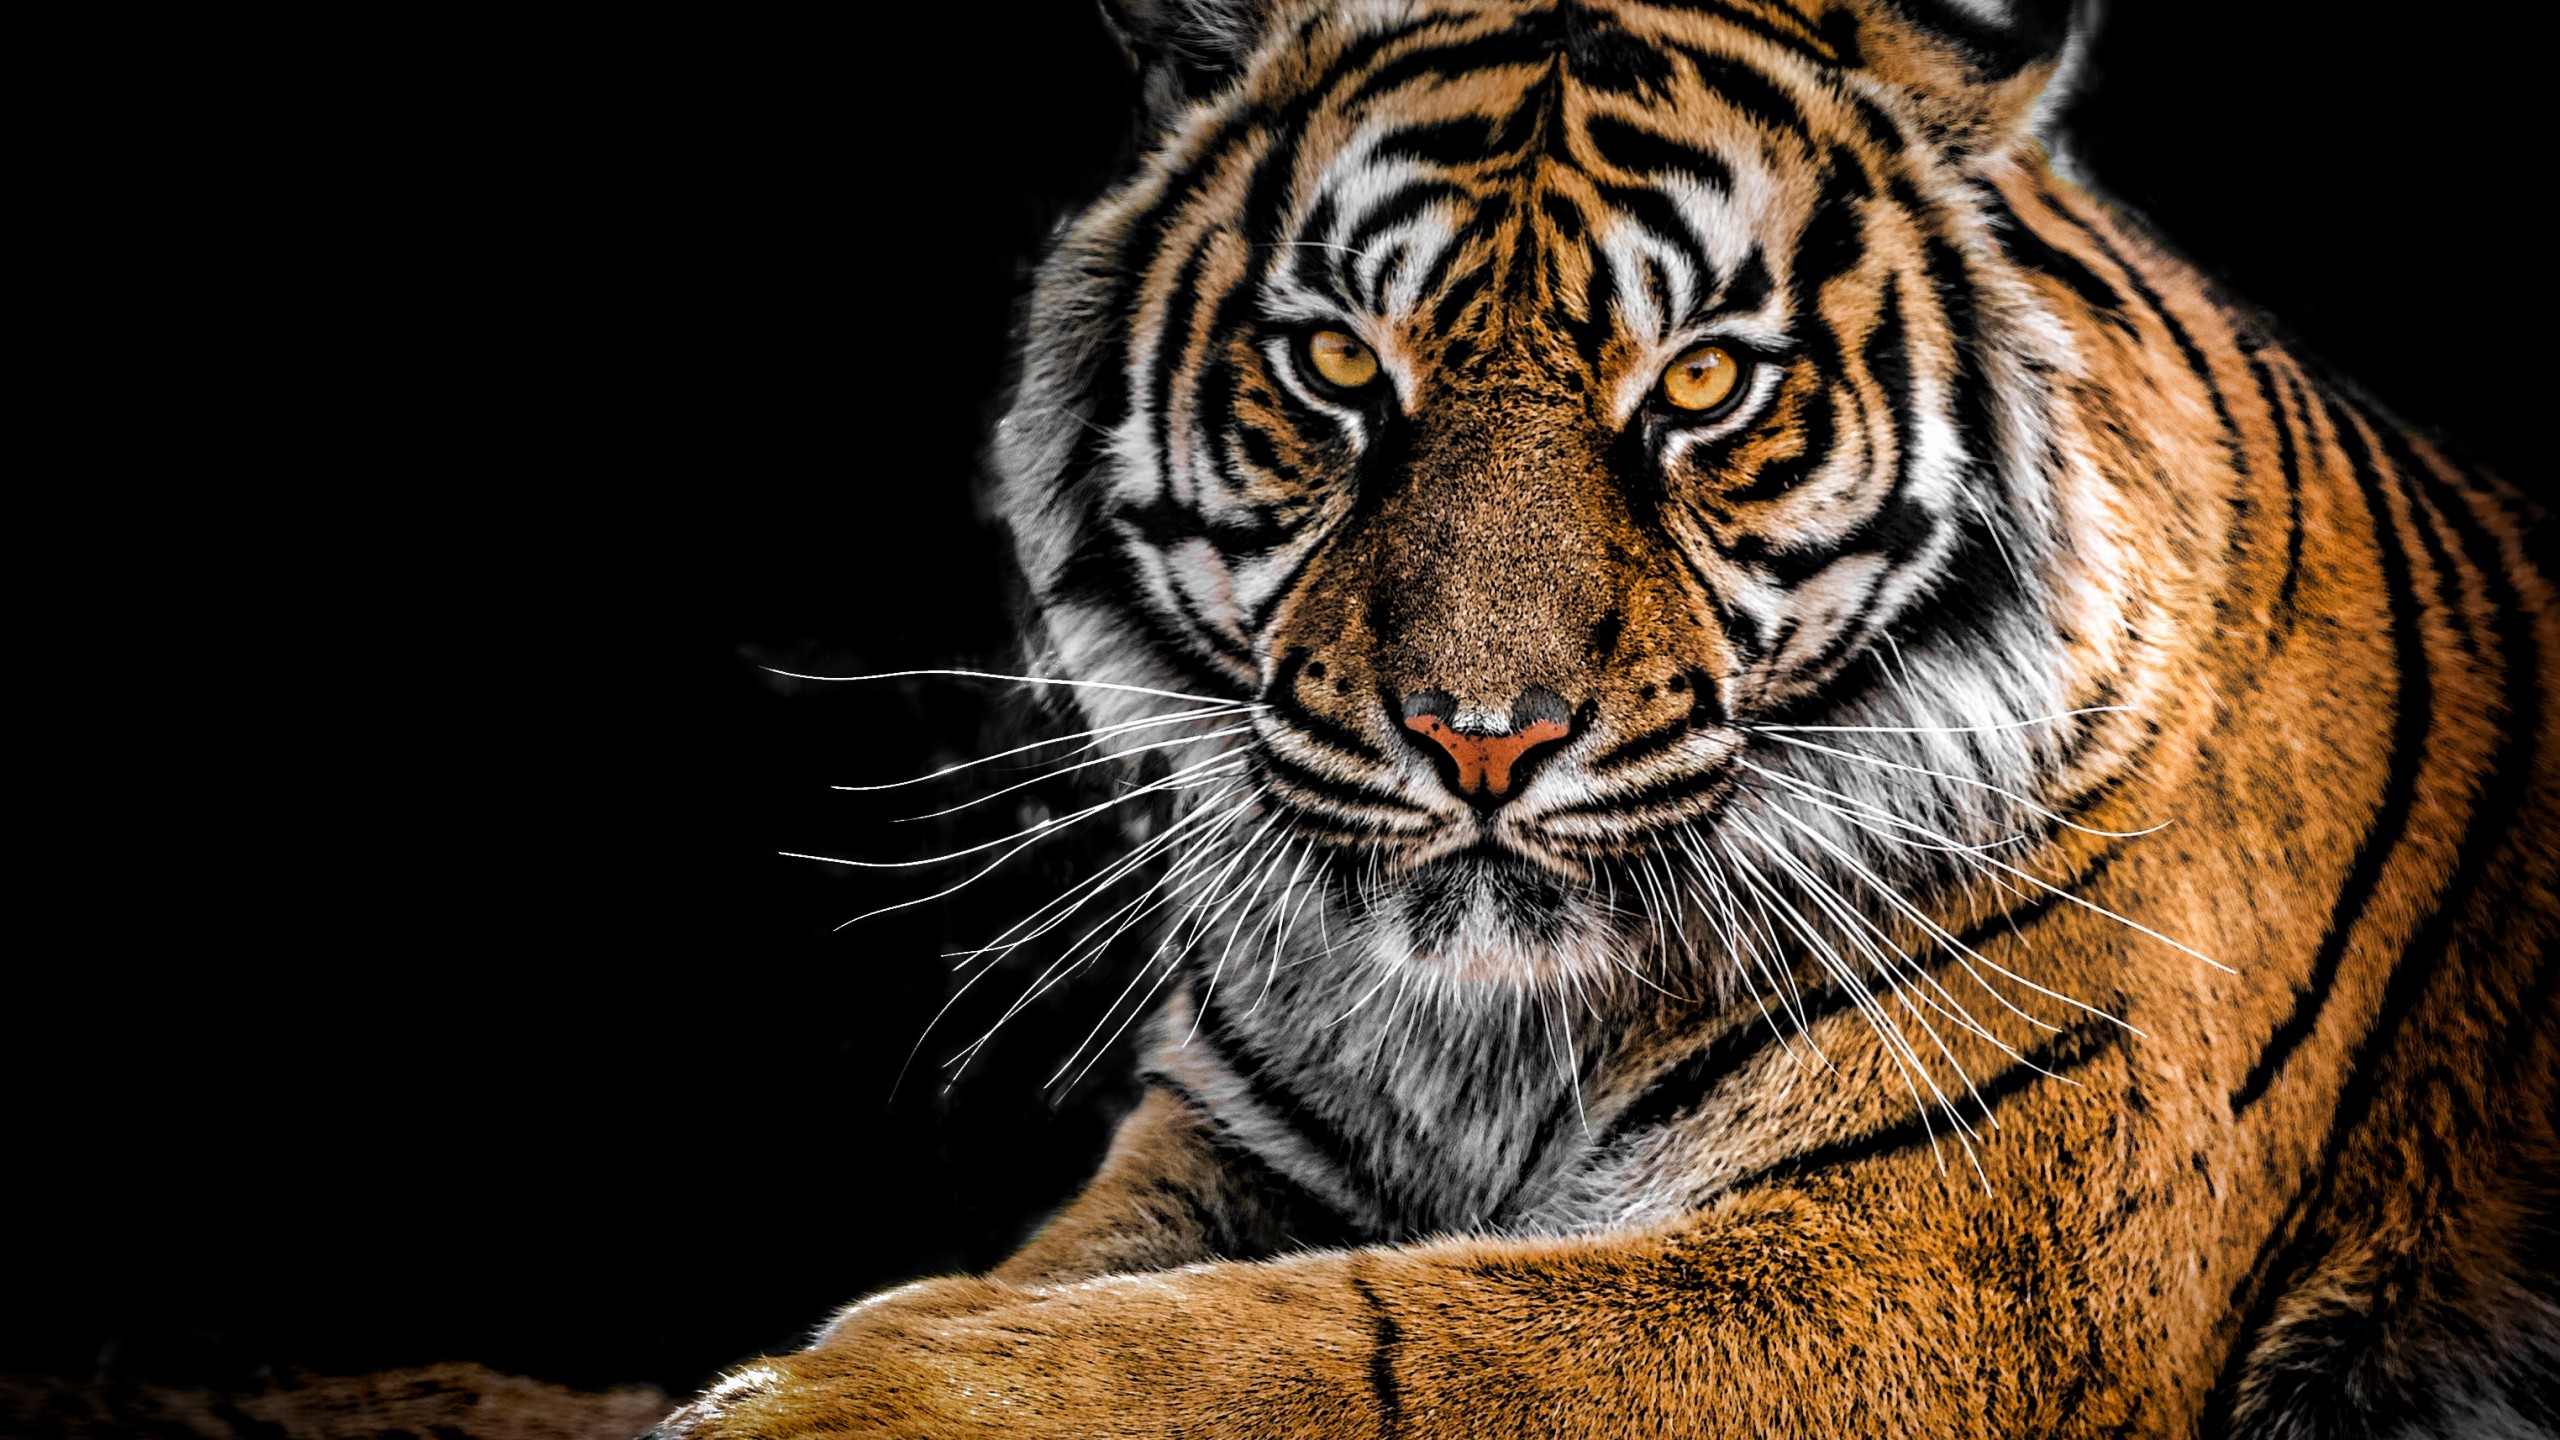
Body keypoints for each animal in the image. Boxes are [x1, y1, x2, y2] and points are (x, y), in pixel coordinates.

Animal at [655, 0, 2560, 1435]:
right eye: (1336, 366)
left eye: (1704, 382)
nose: (1481, 738)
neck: (1487, 1039)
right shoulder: (1230, 1144)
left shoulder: (1950, 1260)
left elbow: (1342, 1345)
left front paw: (812, 1403)